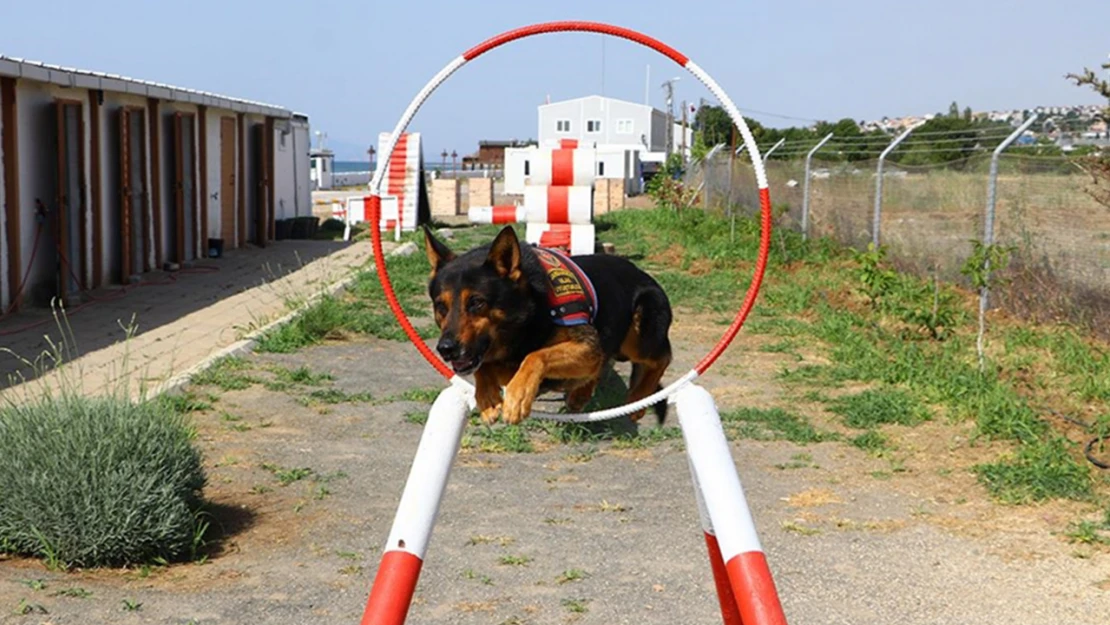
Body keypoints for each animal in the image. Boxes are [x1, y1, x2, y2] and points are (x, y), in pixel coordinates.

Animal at [419, 225, 670, 426]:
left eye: (477, 302)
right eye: (440, 306)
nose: (446, 349)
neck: (527, 316)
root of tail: (640, 271)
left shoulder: (586, 347)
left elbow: (536, 356)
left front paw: (518, 396)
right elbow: (486, 365)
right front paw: (487, 397)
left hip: (638, 337)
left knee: (662, 358)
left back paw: (638, 398)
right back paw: (581, 393)